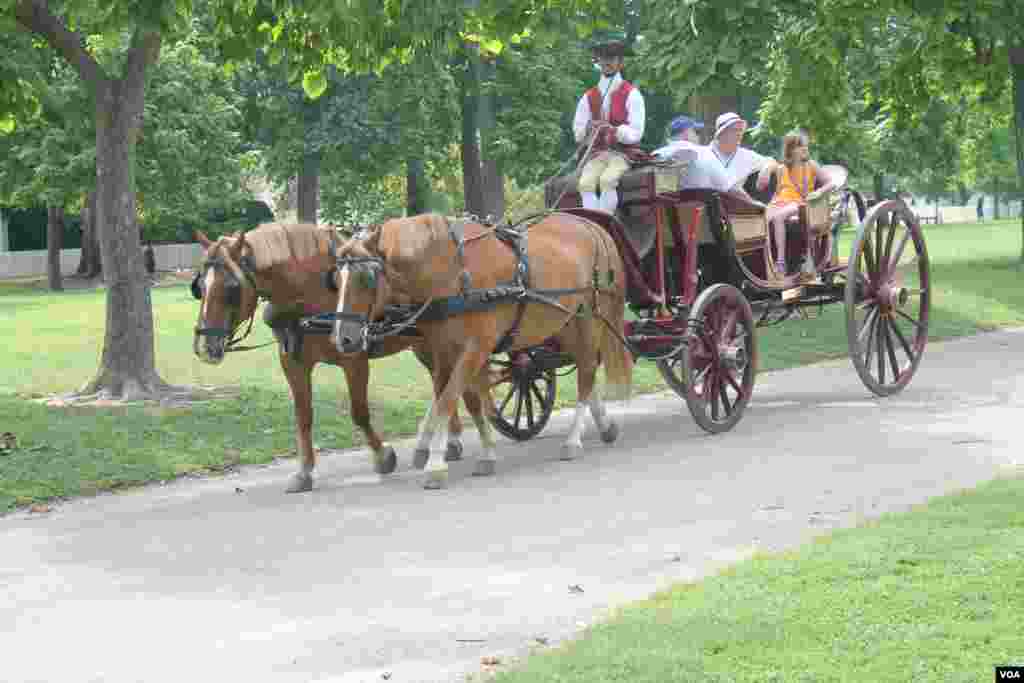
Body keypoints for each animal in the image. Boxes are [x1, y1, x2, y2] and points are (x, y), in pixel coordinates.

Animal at [190, 222, 466, 493]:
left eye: (232, 288)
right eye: (200, 286)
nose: (204, 346)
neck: (312, 292)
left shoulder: (354, 359)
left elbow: (359, 413)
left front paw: (383, 457)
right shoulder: (293, 362)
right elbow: (303, 416)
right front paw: (304, 472)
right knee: (441, 381)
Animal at [331, 216, 630, 489]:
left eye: (367, 277)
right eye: (336, 279)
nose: (343, 338)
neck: (450, 270)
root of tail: (590, 225)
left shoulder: (476, 347)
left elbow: (448, 399)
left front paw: (435, 464)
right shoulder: (444, 351)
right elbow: (465, 400)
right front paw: (485, 453)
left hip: (588, 318)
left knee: (587, 371)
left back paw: (573, 440)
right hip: (564, 323)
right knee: (585, 369)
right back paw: (604, 425)